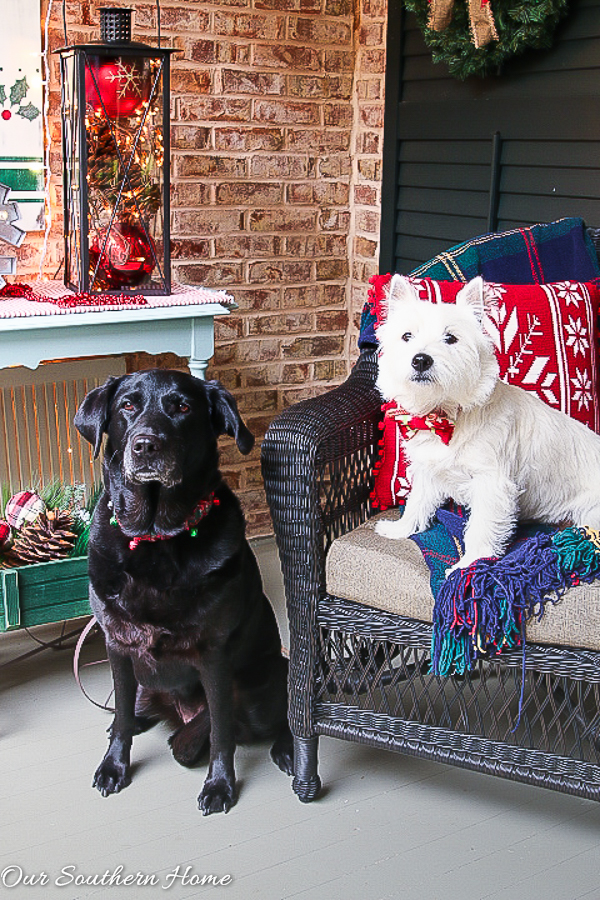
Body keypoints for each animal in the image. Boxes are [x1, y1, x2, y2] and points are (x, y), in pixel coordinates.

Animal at [74, 370, 294, 812]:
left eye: (183, 407)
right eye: (127, 405)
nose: (145, 445)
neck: (155, 537)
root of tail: (182, 713)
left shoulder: (214, 655)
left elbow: (222, 732)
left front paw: (220, 784)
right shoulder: (117, 646)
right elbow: (120, 719)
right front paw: (113, 766)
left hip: (268, 680)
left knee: (281, 718)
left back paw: (283, 749)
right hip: (146, 686)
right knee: (134, 712)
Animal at [378, 274, 600, 572]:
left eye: (451, 338)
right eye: (407, 336)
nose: (421, 360)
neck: (446, 415)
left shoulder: (491, 483)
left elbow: (481, 527)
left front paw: (469, 565)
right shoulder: (429, 471)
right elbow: (418, 502)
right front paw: (399, 529)